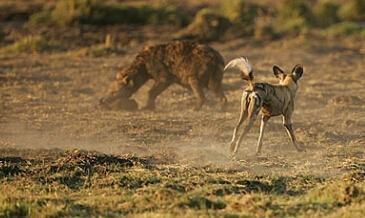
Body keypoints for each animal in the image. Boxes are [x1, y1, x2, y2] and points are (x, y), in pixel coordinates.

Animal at [98, 40, 226, 110]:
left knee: (200, 87)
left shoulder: (164, 73)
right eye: (109, 90)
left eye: (113, 92)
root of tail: (217, 57)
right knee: (216, 87)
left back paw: (195, 108)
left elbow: (153, 90)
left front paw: (147, 107)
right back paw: (222, 106)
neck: (144, 66)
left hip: (196, 72)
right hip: (215, 73)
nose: (102, 100)